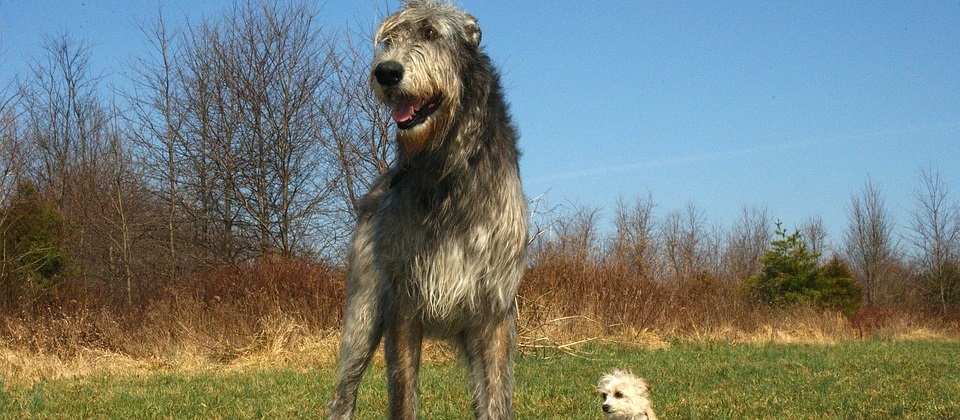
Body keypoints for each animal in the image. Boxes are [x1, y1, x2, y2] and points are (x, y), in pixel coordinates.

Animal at [328, 1, 524, 418]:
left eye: (431, 33)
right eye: (388, 40)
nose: (386, 72)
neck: (446, 167)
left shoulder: (496, 311)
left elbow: (496, 400)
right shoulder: (403, 305)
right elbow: (403, 396)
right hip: (362, 315)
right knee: (344, 392)